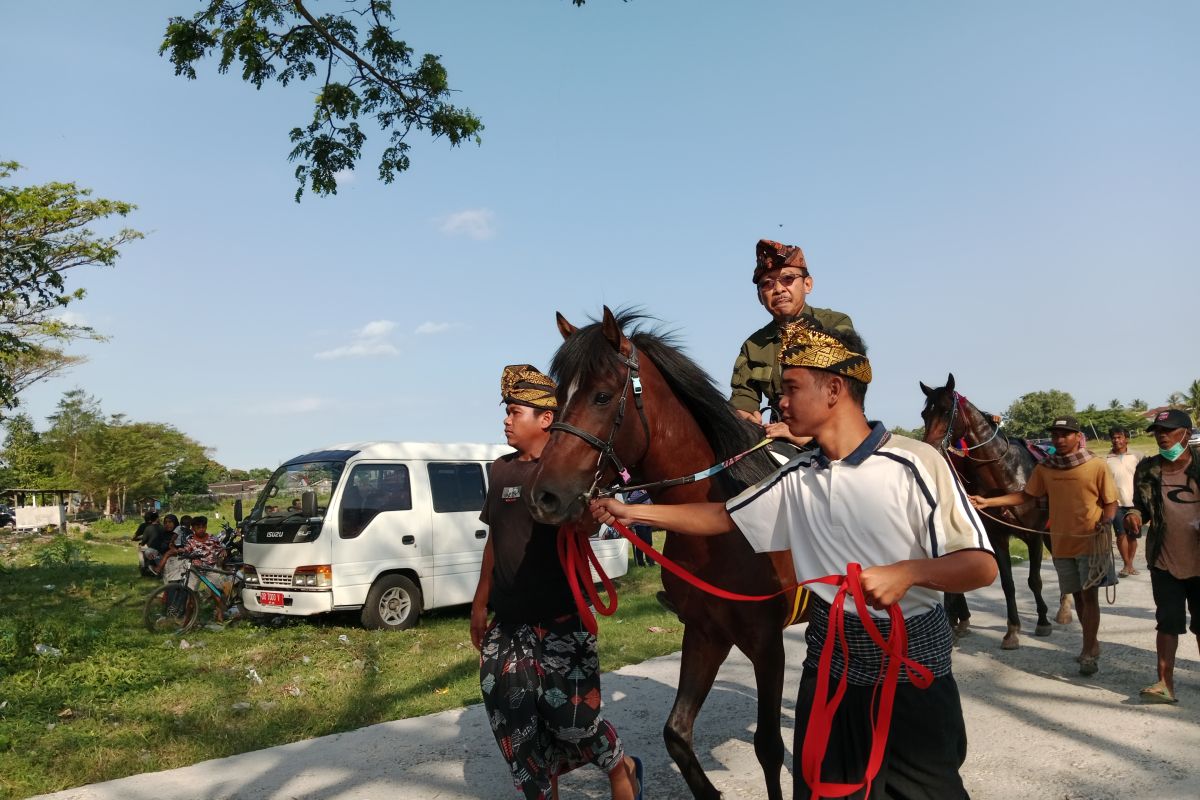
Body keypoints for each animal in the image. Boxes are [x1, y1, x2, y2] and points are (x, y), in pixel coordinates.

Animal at [530, 309, 801, 800]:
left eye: (601, 396)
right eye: (558, 399)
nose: (545, 497)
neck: (719, 526)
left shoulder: (767, 641)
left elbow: (769, 748)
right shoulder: (705, 632)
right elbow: (676, 733)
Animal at [916, 376, 1060, 652]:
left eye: (946, 410)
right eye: (924, 413)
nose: (929, 451)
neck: (1007, 474)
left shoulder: (1032, 535)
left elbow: (1034, 580)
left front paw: (1043, 621)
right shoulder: (998, 536)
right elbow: (1008, 584)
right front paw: (1012, 630)